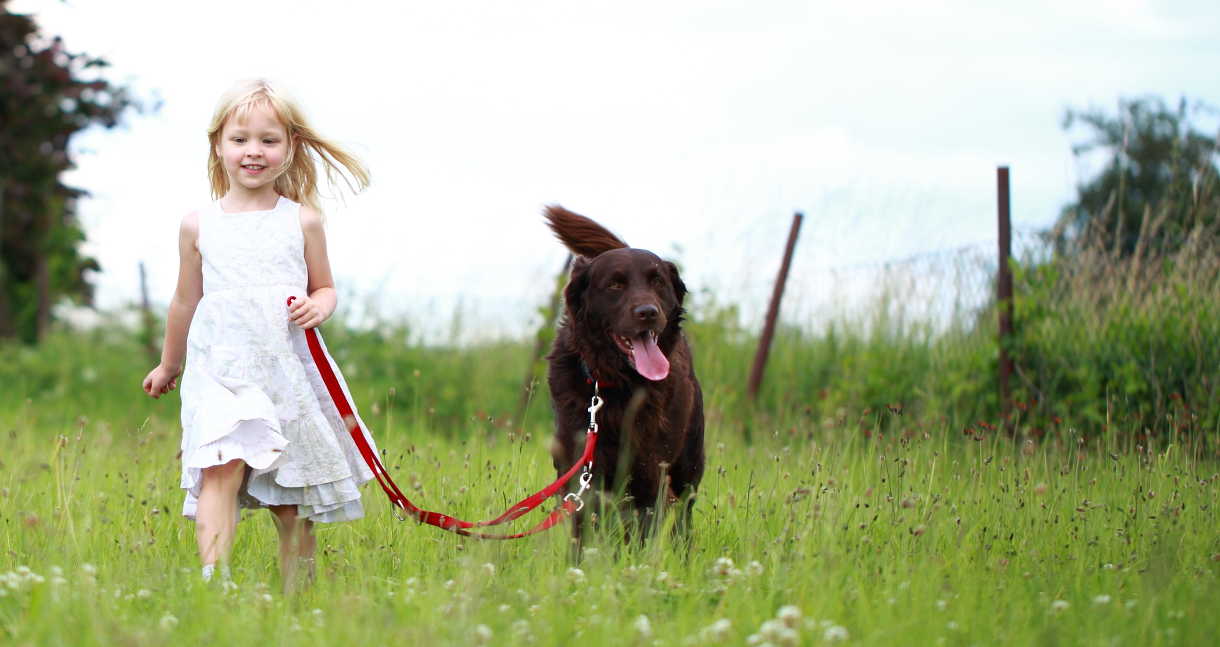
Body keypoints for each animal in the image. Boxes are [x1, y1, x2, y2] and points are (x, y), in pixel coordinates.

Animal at [544, 206, 707, 539]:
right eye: (615, 285)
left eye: (657, 281)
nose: (648, 312)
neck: (617, 384)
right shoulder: (583, 468)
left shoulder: (649, 471)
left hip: (687, 465)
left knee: (683, 516)